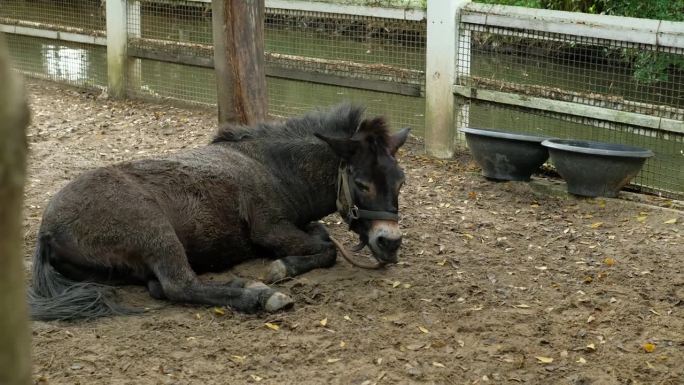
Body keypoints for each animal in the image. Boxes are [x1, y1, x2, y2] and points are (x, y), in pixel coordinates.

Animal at [29, 103, 408, 320]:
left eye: (401, 180)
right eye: (361, 183)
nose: (390, 243)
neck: (273, 169)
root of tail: (47, 229)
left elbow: (322, 235)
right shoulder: (270, 229)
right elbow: (327, 249)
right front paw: (279, 269)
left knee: (158, 285)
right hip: (154, 231)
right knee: (178, 286)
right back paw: (261, 296)